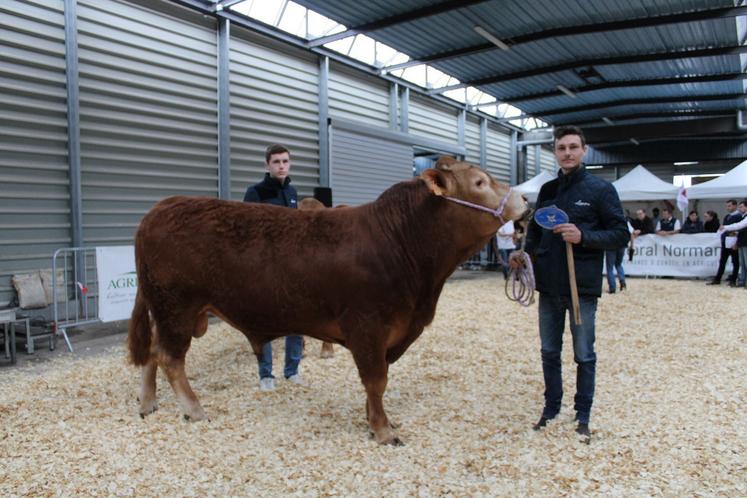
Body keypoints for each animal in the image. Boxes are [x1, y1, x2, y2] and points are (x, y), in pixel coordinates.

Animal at [129, 158, 528, 446]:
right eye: (479, 183)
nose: (525, 199)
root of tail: (160, 209)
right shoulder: (367, 326)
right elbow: (376, 380)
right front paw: (384, 431)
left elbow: (376, 382)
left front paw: (373, 421)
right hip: (177, 306)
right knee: (170, 358)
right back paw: (195, 410)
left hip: (166, 308)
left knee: (152, 351)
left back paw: (148, 404)